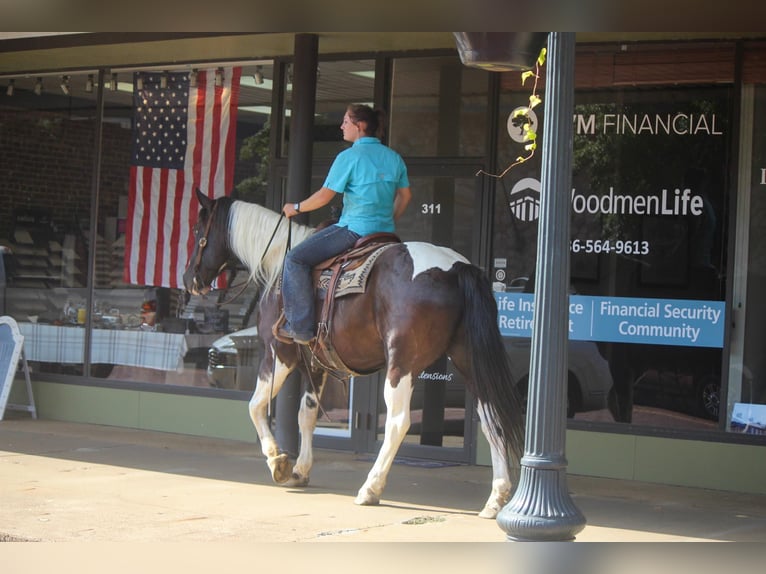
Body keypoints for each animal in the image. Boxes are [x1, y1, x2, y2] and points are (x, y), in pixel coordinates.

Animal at [183, 191, 524, 520]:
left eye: (199, 230)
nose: (189, 281)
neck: (279, 262)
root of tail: (454, 268)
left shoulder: (279, 353)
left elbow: (255, 406)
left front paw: (277, 460)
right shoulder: (315, 363)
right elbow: (306, 415)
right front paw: (300, 469)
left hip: (402, 363)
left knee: (398, 422)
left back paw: (370, 488)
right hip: (467, 359)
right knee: (491, 417)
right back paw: (496, 498)